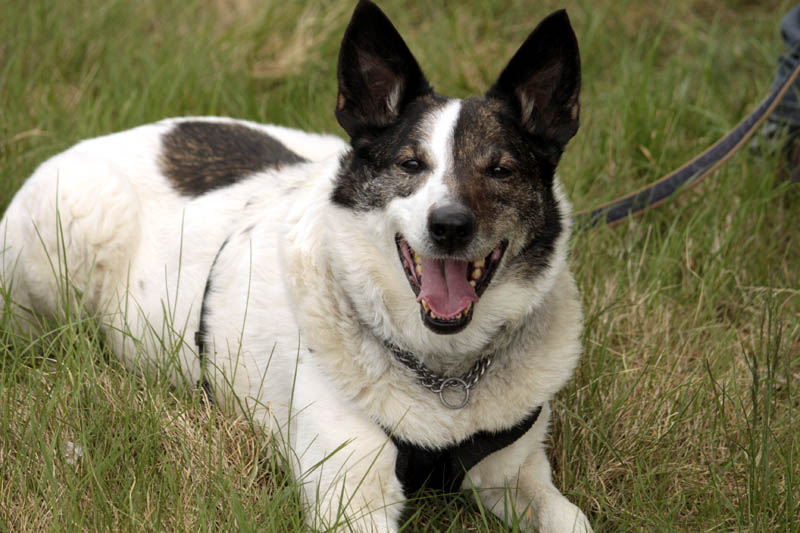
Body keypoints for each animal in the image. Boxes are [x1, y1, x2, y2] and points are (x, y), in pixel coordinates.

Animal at [0, 1, 591, 531]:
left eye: (501, 170)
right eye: (410, 164)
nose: (449, 227)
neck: (445, 378)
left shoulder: (519, 476)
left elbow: (572, 517)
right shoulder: (351, 495)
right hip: (72, 233)